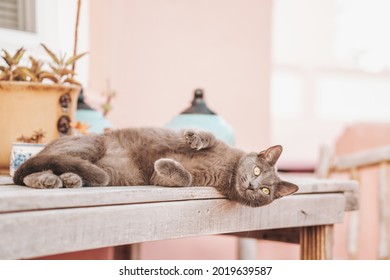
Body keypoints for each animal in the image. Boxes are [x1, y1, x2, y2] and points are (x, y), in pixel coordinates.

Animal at [13, 127, 298, 206]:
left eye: (265, 192)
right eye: (257, 171)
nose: (252, 186)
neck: (228, 169)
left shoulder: (168, 179)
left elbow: (184, 179)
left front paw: (165, 164)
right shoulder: (218, 144)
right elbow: (209, 136)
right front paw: (194, 138)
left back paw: (66, 180)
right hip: (90, 145)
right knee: (26, 171)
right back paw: (52, 179)